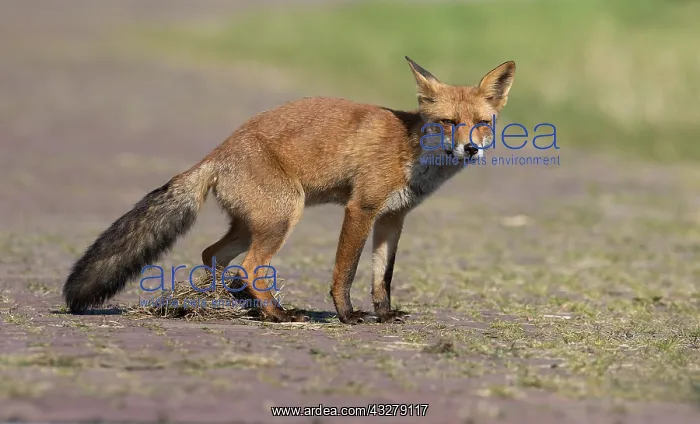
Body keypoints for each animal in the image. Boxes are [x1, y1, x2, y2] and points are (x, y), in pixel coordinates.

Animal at [62, 57, 515, 324]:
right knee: (249, 266)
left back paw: (245, 304)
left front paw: (384, 316)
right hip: (283, 216)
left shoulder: (392, 218)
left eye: (482, 123)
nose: (470, 148)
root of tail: (218, 152)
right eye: (448, 123)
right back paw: (276, 314)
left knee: (214, 256)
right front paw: (347, 316)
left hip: (252, 225)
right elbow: (346, 271)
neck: (411, 151)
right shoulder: (361, 208)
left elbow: (382, 277)